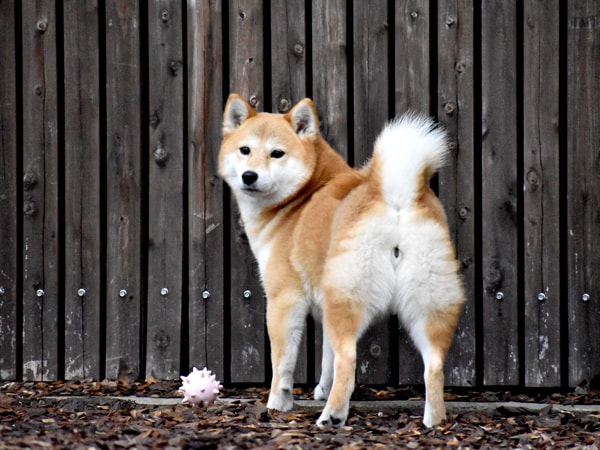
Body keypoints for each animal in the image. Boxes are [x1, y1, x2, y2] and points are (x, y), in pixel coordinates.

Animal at [219, 93, 464, 428]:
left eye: (276, 154)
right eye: (245, 150)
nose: (249, 176)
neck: (301, 198)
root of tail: (394, 198)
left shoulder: (285, 300)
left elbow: (283, 364)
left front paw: (277, 403)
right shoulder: (325, 306)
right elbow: (327, 360)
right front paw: (321, 389)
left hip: (348, 300)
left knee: (348, 359)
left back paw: (332, 416)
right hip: (423, 305)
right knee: (434, 366)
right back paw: (433, 421)